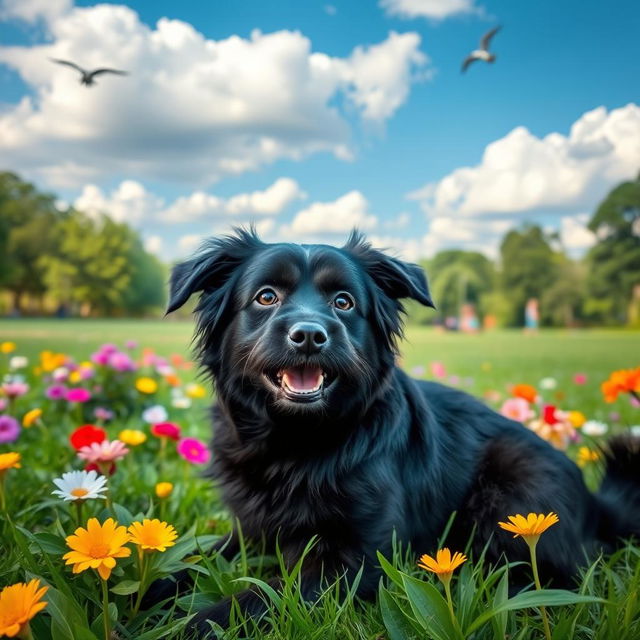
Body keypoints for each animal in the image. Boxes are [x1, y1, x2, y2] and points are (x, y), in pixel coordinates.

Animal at [166, 228, 640, 632]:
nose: (310, 335)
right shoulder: (249, 533)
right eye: (266, 297)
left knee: (554, 574)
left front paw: (194, 624)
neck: (297, 443)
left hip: (514, 490)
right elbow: (182, 564)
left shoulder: (356, 561)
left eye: (343, 302)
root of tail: (597, 505)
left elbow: (258, 599)